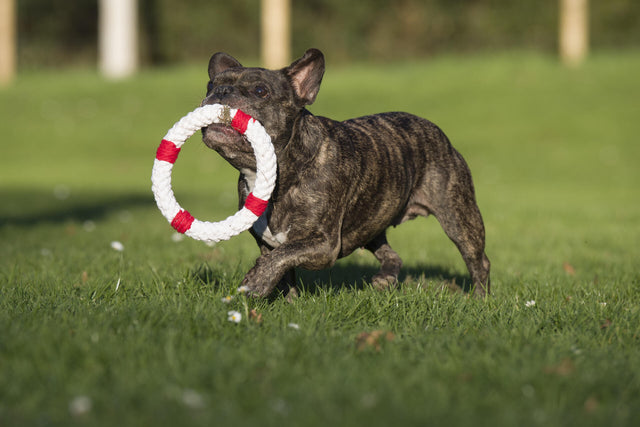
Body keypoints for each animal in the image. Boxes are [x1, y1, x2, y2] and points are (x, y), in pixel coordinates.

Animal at [200, 49, 490, 298]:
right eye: (210, 85)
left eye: (260, 91)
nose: (221, 91)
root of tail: (439, 134)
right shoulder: (268, 244)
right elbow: (282, 268)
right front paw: (287, 300)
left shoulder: (324, 245)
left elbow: (282, 255)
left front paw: (256, 281)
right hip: (372, 220)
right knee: (391, 254)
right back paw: (385, 278)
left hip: (458, 216)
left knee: (478, 259)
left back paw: (479, 299)